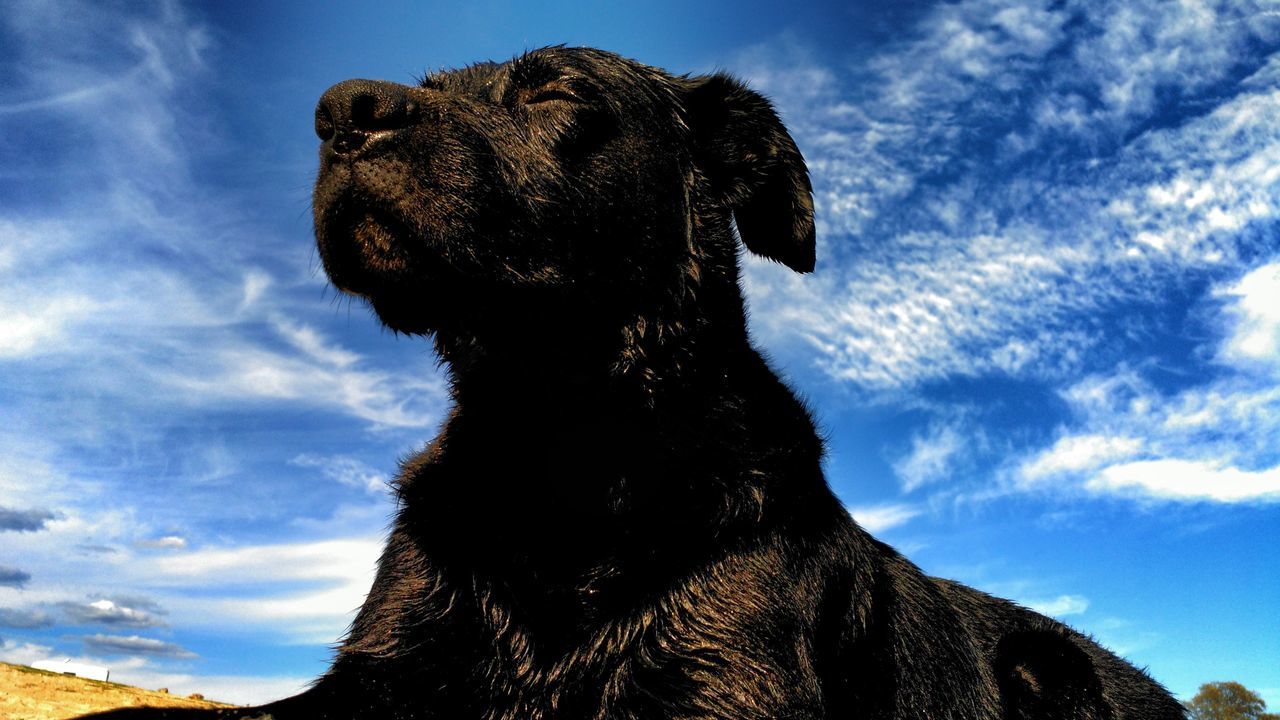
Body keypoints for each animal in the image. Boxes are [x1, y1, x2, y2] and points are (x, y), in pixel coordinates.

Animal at [85, 46, 1182, 717]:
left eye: (557, 94)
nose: (338, 111)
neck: (563, 448)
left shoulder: (722, 678)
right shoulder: (381, 667)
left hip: (1050, 662)